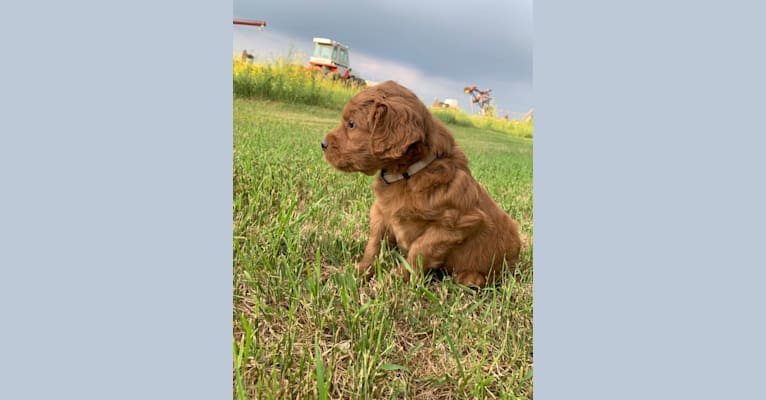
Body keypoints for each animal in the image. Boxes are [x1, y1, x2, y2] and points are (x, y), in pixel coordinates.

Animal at [320, 80, 524, 288]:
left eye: (351, 124)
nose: (323, 144)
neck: (407, 175)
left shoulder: (456, 224)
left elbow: (419, 250)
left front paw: (393, 281)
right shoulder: (381, 212)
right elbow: (374, 244)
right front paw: (357, 273)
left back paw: (470, 278)